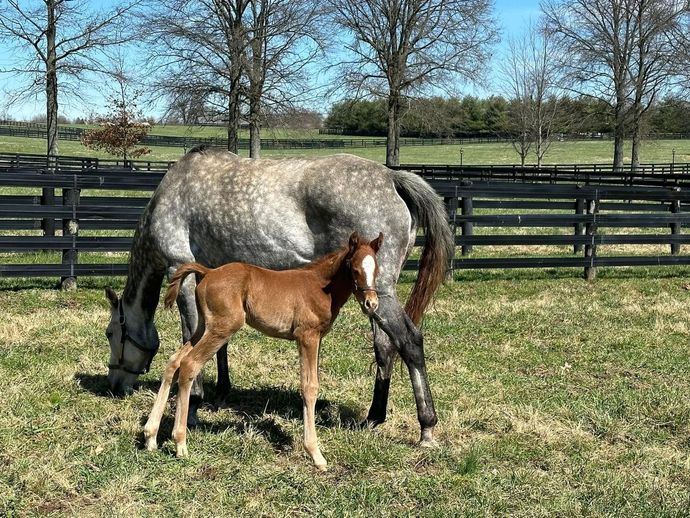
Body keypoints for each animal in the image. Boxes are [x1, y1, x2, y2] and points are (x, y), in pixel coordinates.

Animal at [144, 232, 383, 469]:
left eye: (377, 270)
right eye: (355, 269)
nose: (371, 304)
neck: (322, 287)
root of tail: (208, 272)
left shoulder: (317, 339)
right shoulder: (307, 337)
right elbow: (310, 387)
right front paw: (316, 454)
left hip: (204, 327)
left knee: (174, 361)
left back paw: (150, 436)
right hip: (223, 327)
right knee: (189, 364)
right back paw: (180, 442)